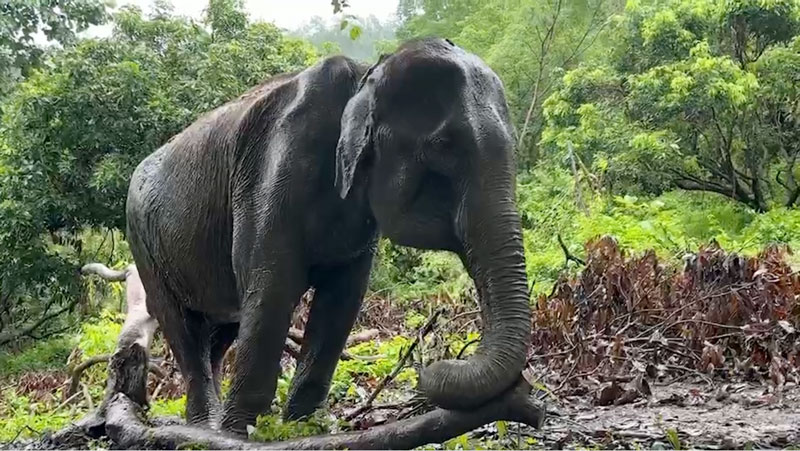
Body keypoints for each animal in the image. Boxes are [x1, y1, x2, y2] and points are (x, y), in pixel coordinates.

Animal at [125, 38, 532, 434]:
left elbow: (341, 302)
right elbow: (271, 292)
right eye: (443, 147)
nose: (430, 369)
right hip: (143, 243)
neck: (365, 75)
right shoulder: (273, 177)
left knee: (220, 333)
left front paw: (309, 429)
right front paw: (241, 434)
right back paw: (204, 428)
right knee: (183, 328)